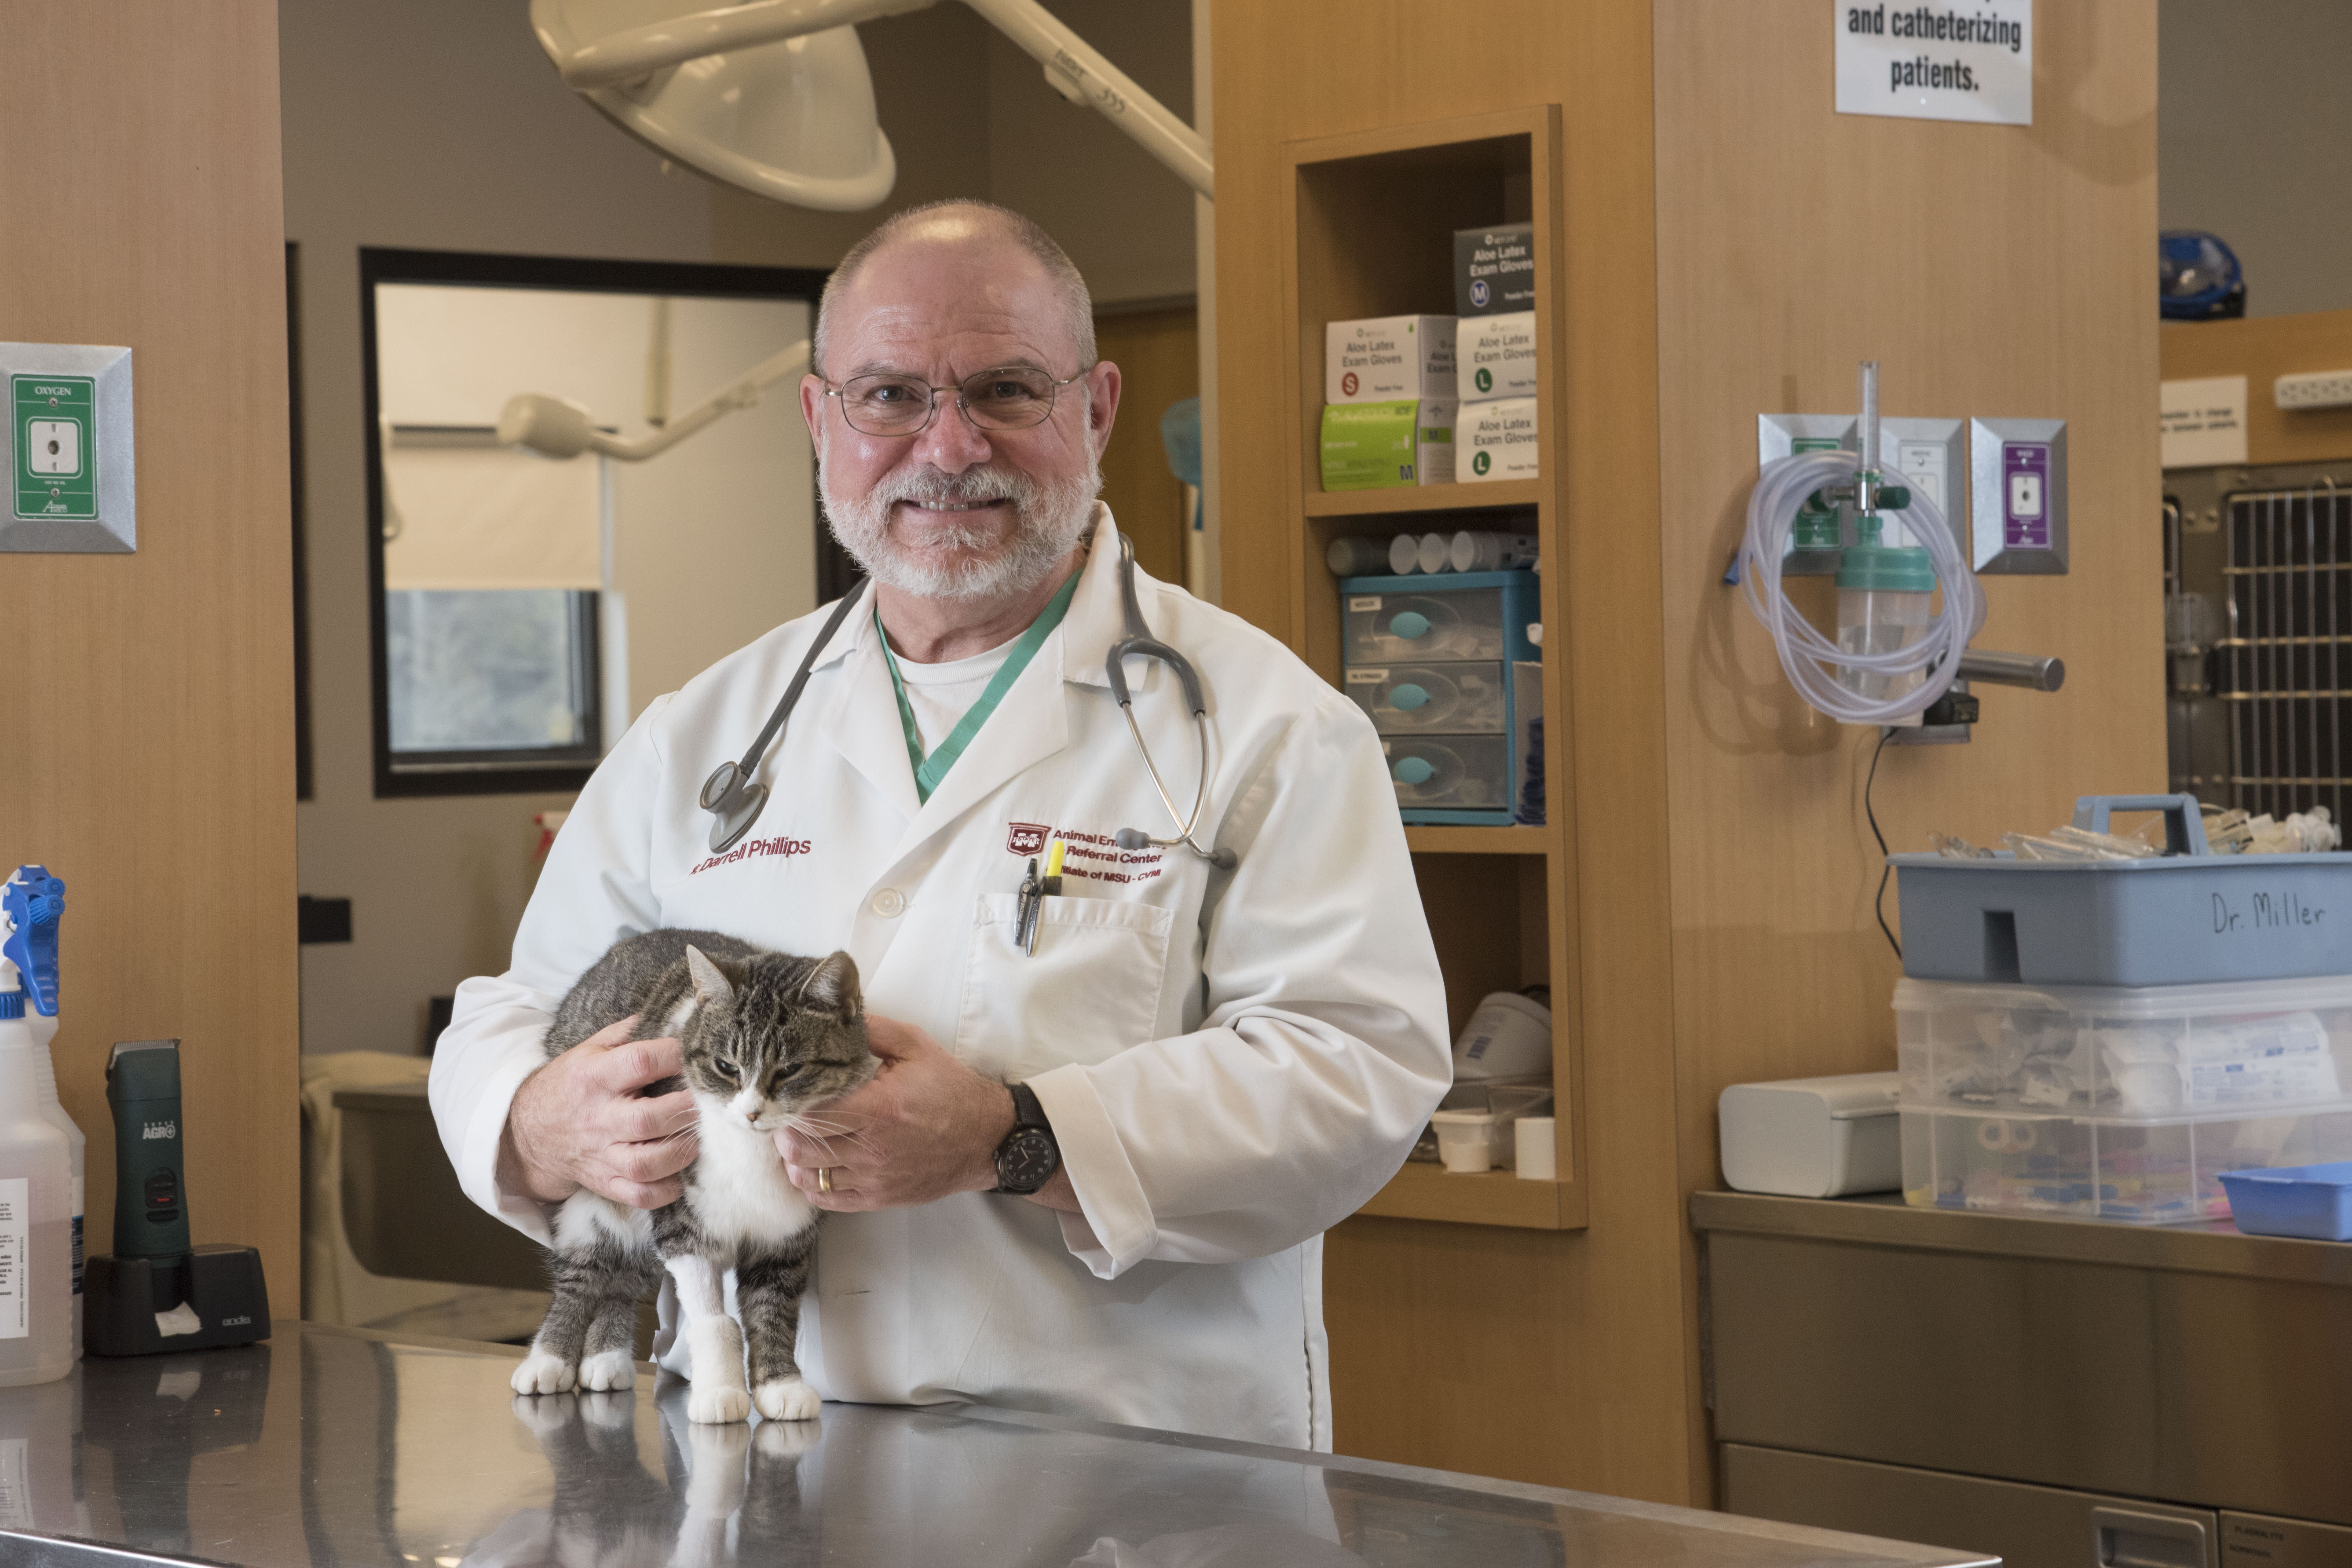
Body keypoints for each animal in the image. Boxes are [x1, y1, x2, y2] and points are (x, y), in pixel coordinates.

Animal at [510, 931, 879, 1420]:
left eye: (789, 1070)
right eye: (727, 1067)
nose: (752, 1112)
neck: (754, 1153)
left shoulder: (786, 1234)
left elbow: (774, 1309)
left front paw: (781, 1383)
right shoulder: (681, 1219)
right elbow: (709, 1314)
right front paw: (719, 1389)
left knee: (623, 1279)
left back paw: (605, 1357)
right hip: (597, 1196)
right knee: (582, 1274)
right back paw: (548, 1360)